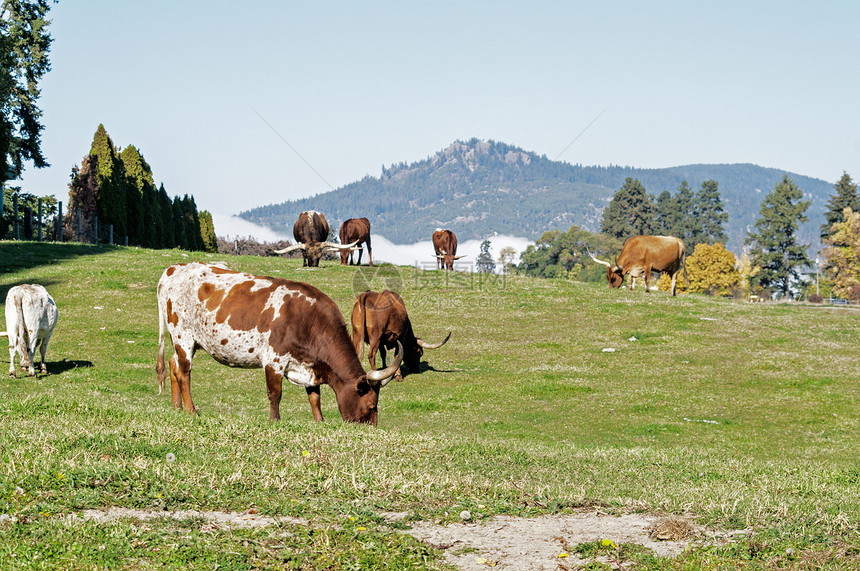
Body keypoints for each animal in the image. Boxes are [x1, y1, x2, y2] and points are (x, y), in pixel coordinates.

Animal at [155, 264, 404, 424]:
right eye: (371, 406)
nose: (371, 429)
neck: (309, 320)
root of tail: (173, 269)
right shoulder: (273, 360)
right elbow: (275, 394)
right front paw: (275, 421)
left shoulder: (309, 365)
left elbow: (315, 397)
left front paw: (320, 421)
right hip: (183, 336)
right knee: (184, 373)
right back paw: (190, 410)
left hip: (184, 341)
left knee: (173, 365)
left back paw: (176, 407)